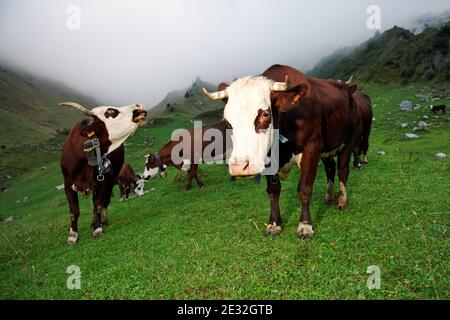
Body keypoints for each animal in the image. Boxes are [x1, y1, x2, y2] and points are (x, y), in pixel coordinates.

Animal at [59, 101, 147, 244]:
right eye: (110, 112)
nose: (139, 106)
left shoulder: (105, 181)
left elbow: (99, 204)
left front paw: (97, 228)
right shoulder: (67, 184)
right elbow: (74, 211)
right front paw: (72, 235)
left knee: (103, 201)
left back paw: (101, 221)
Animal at [203, 63, 356, 238]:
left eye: (265, 114)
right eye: (227, 122)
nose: (240, 167)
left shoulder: (311, 149)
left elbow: (304, 188)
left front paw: (305, 225)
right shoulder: (269, 159)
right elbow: (273, 191)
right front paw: (274, 224)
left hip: (349, 138)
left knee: (343, 169)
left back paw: (342, 201)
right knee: (330, 168)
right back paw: (329, 197)